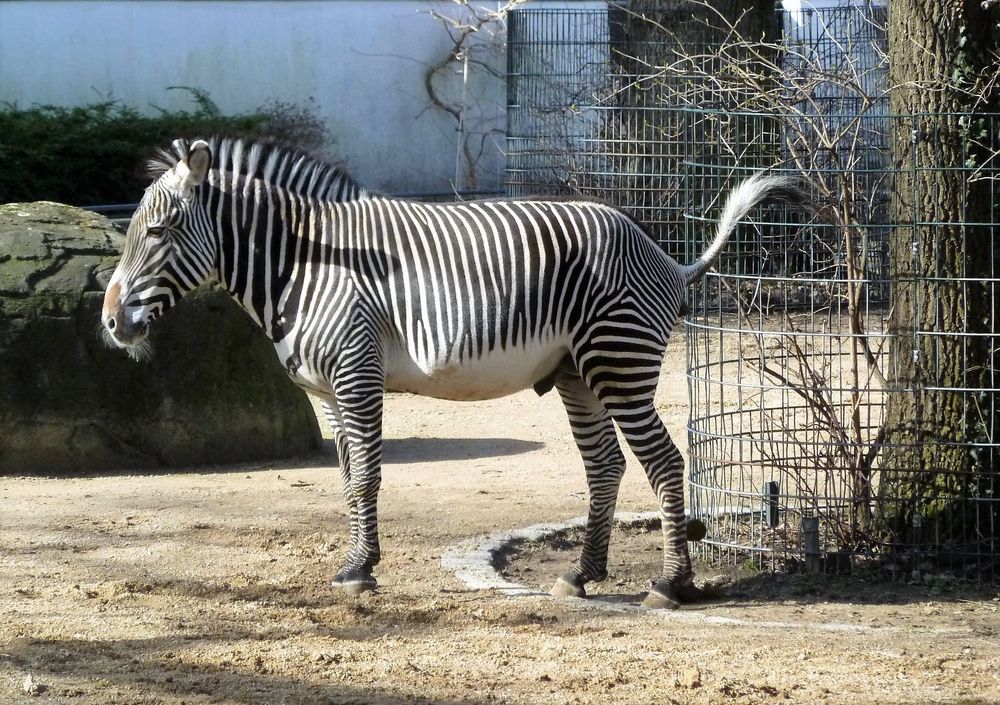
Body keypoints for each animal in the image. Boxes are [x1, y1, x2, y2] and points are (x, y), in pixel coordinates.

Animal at [103, 135, 804, 608]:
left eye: (158, 231)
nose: (110, 324)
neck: (303, 266)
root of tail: (663, 254)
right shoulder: (325, 391)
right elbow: (346, 479)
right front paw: (356, 560)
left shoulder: (356, 374)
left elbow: (367, 476)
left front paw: (362, 569)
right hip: (576, 373)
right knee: (605, 464)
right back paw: (582, 574)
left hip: (619, 362)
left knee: (663, 461)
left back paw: (671, 583)